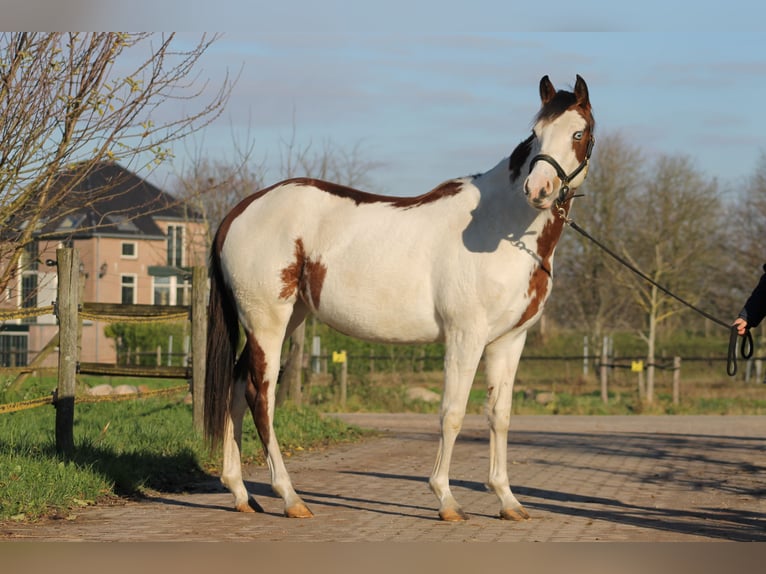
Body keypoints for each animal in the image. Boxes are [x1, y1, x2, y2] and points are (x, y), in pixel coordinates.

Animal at [202, 74, 592, 524]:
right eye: (536, 133)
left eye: (578, 133)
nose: (539, 189)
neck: (501, 227)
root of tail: (239, 212)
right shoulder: (466, 336)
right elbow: (452, 414)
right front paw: (446, 499)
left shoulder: (509, 341)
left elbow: (500, 416)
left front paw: (508, 500)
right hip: (268, 322)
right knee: (259, 397)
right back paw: (290, 497)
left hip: (279, 320)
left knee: (235, 388)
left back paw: (241, 493)